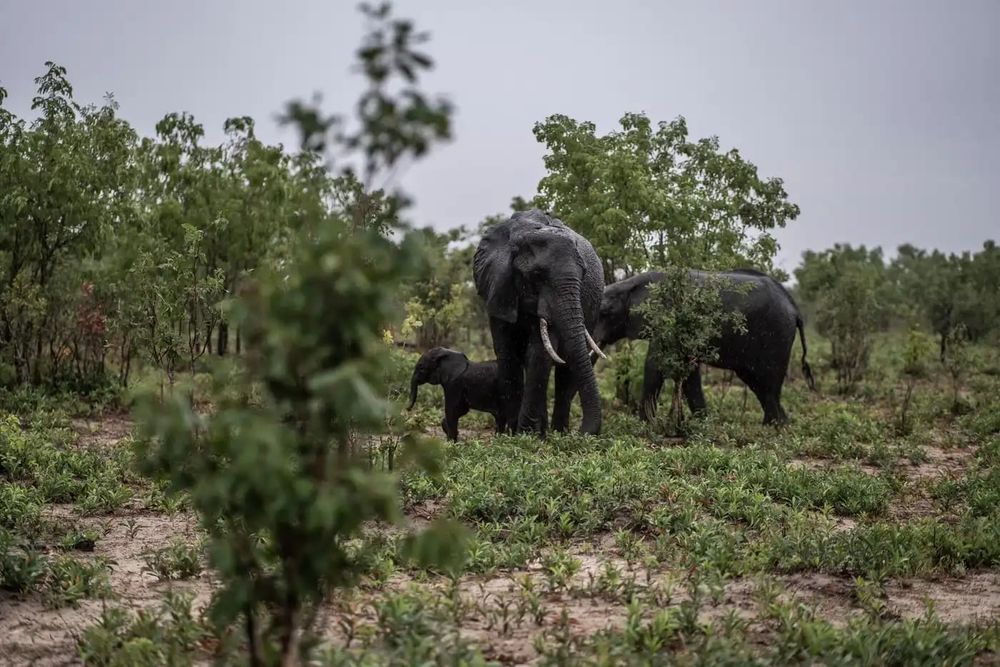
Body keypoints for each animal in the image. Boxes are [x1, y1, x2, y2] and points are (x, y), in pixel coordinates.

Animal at [473, 209, 606, 436]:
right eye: (536, 275)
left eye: (584, 274)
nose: (583, 432)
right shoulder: (498, 286)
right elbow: (507, 352)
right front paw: (514, 433)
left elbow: (539, 354)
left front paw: (525, 434)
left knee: (567, 367)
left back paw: (558, 433)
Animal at [592, 268, 815, 425]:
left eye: (605, 313)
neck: (629, 284)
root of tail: (795, 308)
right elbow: (688, 371)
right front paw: (701, 422)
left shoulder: (668, 318)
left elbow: (656, 365)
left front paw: (644, 425)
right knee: (756, 382)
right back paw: (775, 425)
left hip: (777, 334)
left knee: (768, 381)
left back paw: (775, 427)